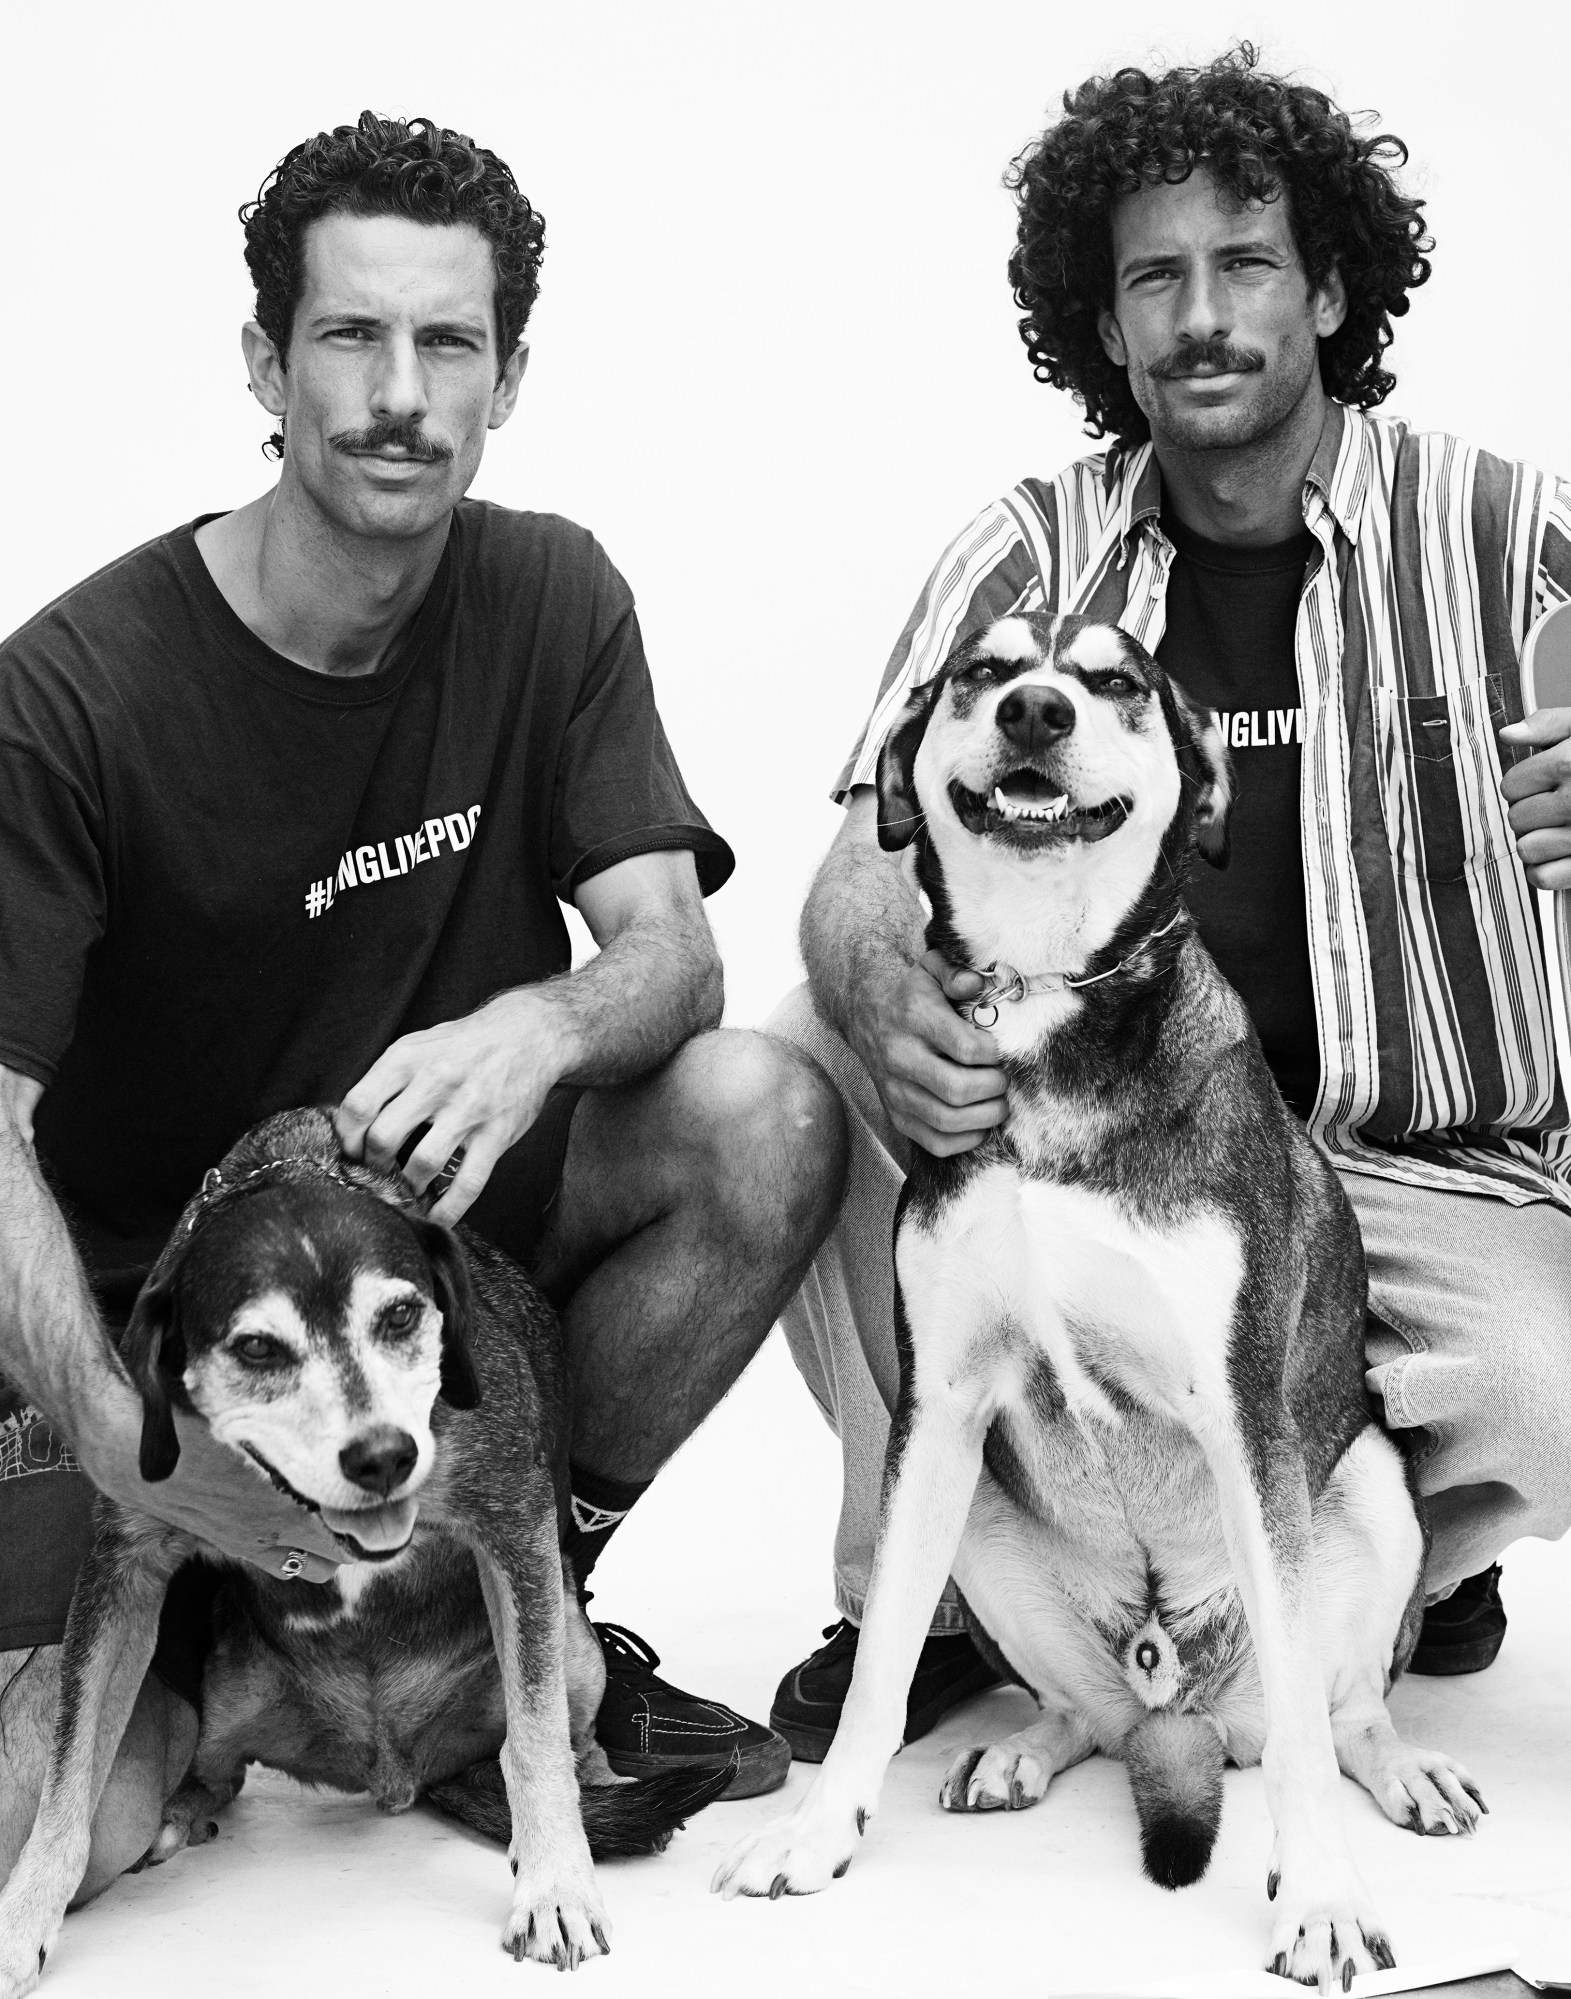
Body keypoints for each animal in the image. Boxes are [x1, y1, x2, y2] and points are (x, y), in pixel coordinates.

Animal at [0, 1103, 723, 1991]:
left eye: (401, 1316)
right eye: (257, 1348)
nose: (383, 1457)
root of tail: (400, 1769)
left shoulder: (512, 1522)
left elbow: (534, 1737)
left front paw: (557, 1882)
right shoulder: (122, 1566)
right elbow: (68, 1781)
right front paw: (22, 1921)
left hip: (570, 1628)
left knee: (564, 1734)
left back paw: (602, 1804)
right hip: (226, 1689)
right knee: (218, 1772)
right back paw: (183, 1808)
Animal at [711, 615, 1479, 1991]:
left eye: (1115, 682)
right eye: (980, 669)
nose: (1034, 711)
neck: (1041, 995)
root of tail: (1181, 1709)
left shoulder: (1240, 1413)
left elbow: (1304, 1725)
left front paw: (1320, 1899)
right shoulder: (938, 1407)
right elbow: (881, 1666)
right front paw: (816, 1834)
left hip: (1374, 1489)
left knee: (1336, 1711)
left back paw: (1400, 1773)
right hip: (975, 1513)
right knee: (1083, 1711)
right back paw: (1027, 1745)